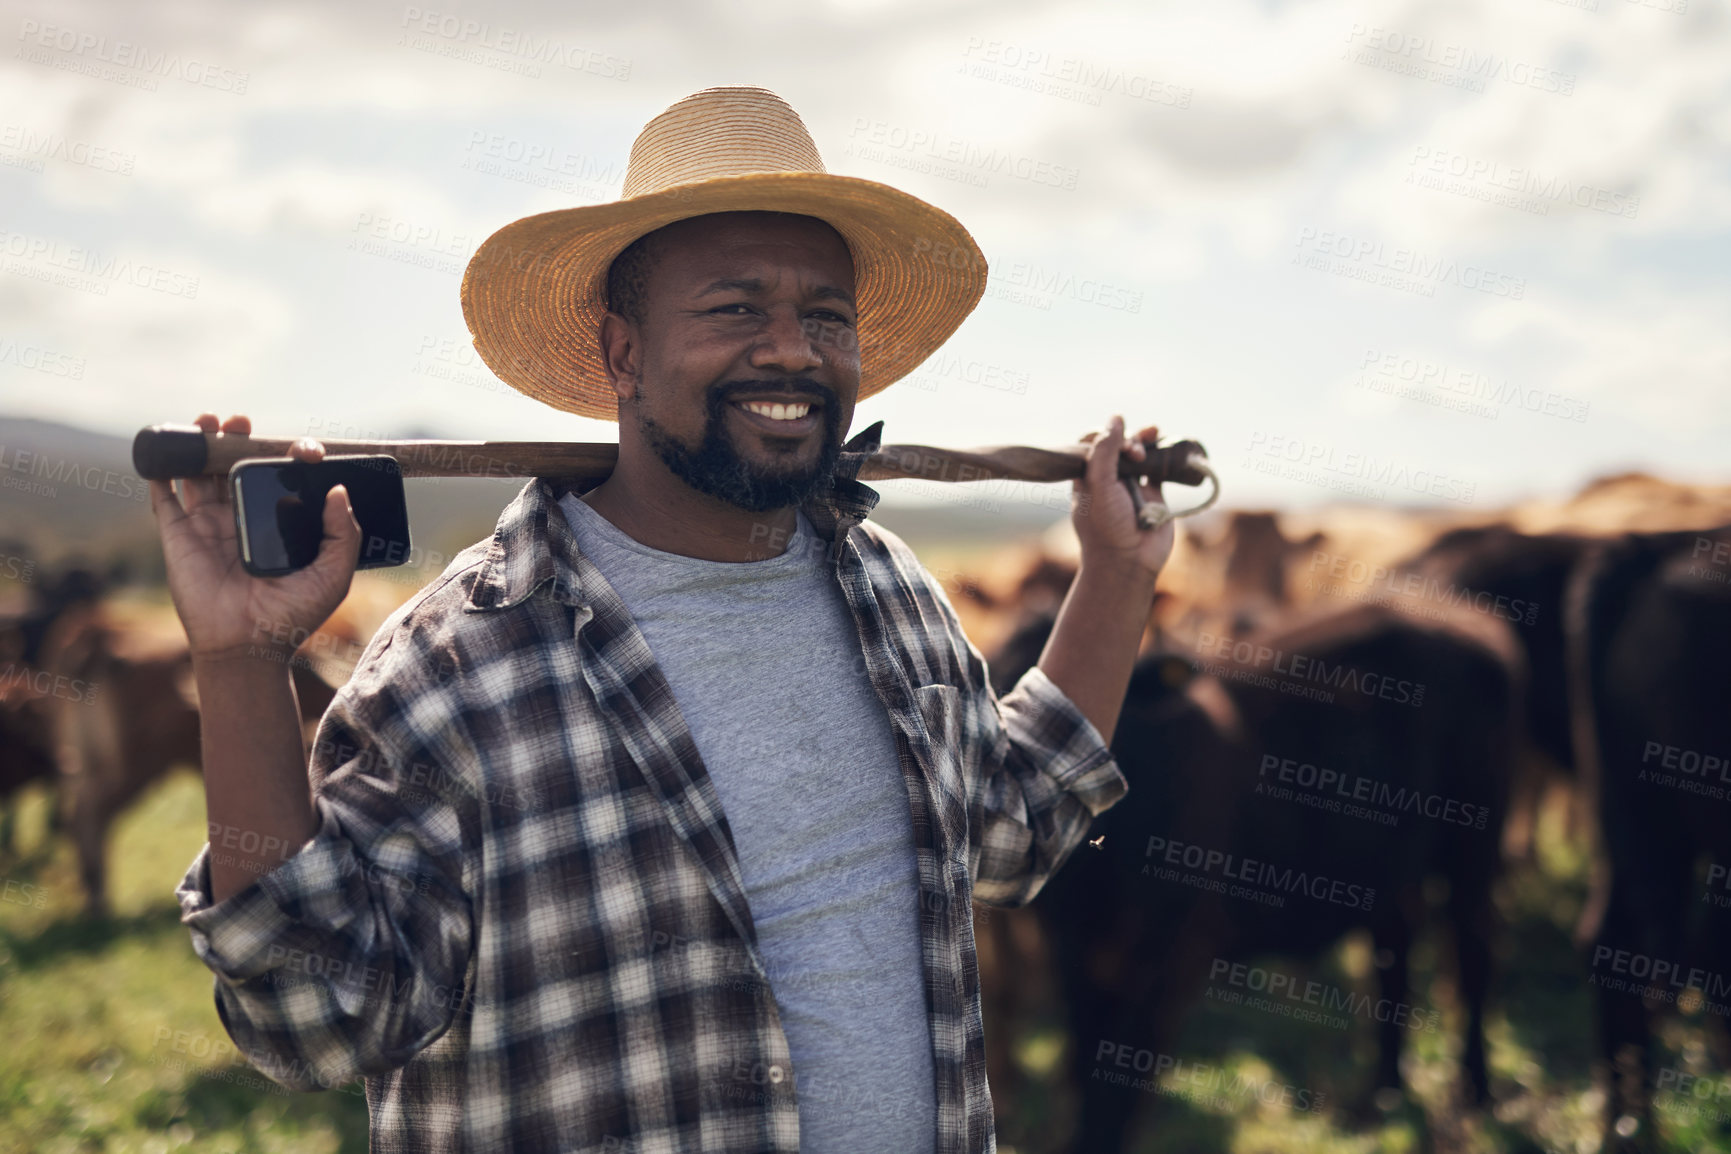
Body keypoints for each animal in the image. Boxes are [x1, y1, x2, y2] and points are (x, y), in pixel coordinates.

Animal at [990, 602, 1516, 1148]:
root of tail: (1469, 621)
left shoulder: (1169, 960)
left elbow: (1114, 1089)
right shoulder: (1076, 959)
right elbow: (1084, 1065)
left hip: (1474, 846)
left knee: (1473, 951)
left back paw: (1476, 1092)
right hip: (1390, 873)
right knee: (1395, 958)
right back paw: (1382, 1095)